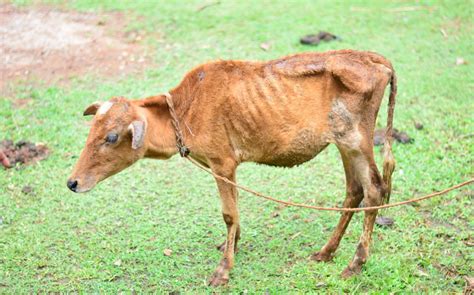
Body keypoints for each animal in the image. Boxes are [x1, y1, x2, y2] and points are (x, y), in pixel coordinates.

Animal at [66, 49, 396, 288]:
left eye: (111, 137)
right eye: (92, 130)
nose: (73, 183)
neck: (184, 111)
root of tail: (374, 58)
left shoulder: (222, 163)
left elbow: (228, 213)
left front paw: (223, 270)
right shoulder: (225, 167)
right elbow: (234, 211)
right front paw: (232, 245)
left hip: (356, 140)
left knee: (374, 189)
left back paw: (355, 263)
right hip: (343, 144)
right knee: (354, 191)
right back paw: (327, 251)